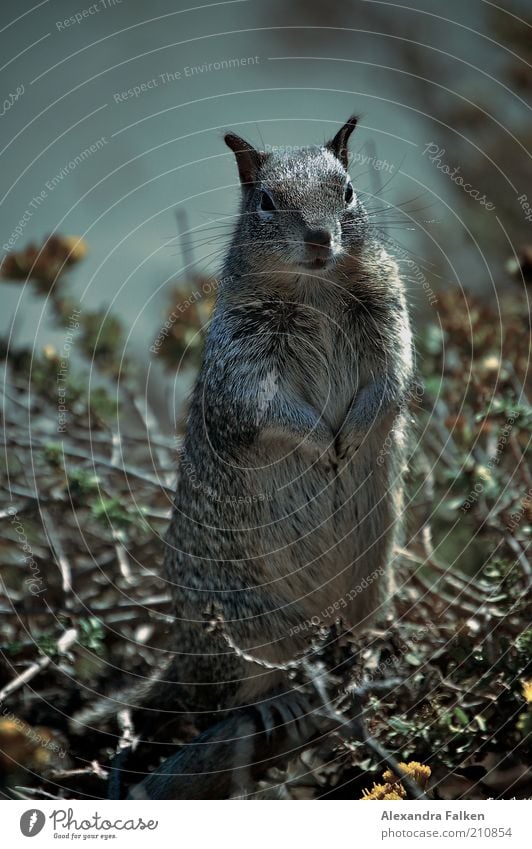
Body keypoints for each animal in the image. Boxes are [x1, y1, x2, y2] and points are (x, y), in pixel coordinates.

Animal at [76, 116, 416, 800]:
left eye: (347, 193)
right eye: (264, 202)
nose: (320, 238)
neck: (316, 288)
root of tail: (182, 653)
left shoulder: (392, 325)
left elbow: (391, 382)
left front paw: (353, 435)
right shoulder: (245, 371)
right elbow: (272, 415)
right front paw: (324, 444)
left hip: (373, 585)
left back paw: (364, 656)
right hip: (250, 632)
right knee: (226, 702)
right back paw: (275, 702)